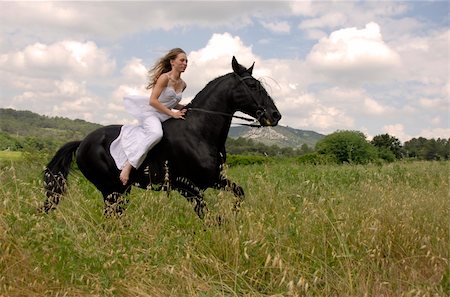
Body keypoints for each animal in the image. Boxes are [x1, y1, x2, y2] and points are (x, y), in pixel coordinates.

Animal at [42, 56, 282, 217]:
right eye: (252, 85)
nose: (275, 115)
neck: (199, 132)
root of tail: (82, 142)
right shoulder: (188, 187)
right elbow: (207, 217)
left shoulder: (214, 180)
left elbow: (239, 193)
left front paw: (234, 215)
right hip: (110, 189)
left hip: (120, 191)